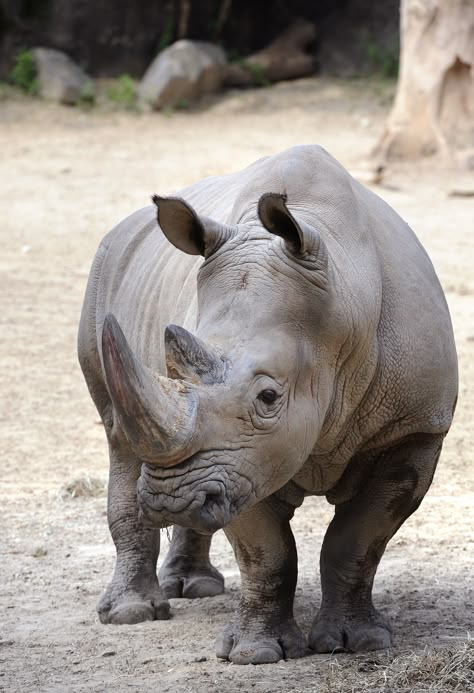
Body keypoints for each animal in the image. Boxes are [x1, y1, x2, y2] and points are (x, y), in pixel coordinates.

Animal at [79, 145, 458, 664]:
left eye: (268, 397)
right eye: (172, 369)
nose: (170, 498)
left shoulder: (412, 428)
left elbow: (358, 542)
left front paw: (358, 643)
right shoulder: (241, 461)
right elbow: (266, 551)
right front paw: (255, 654)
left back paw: (192, 585)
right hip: (103, 271)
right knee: (119, 436)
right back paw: (133, 613)